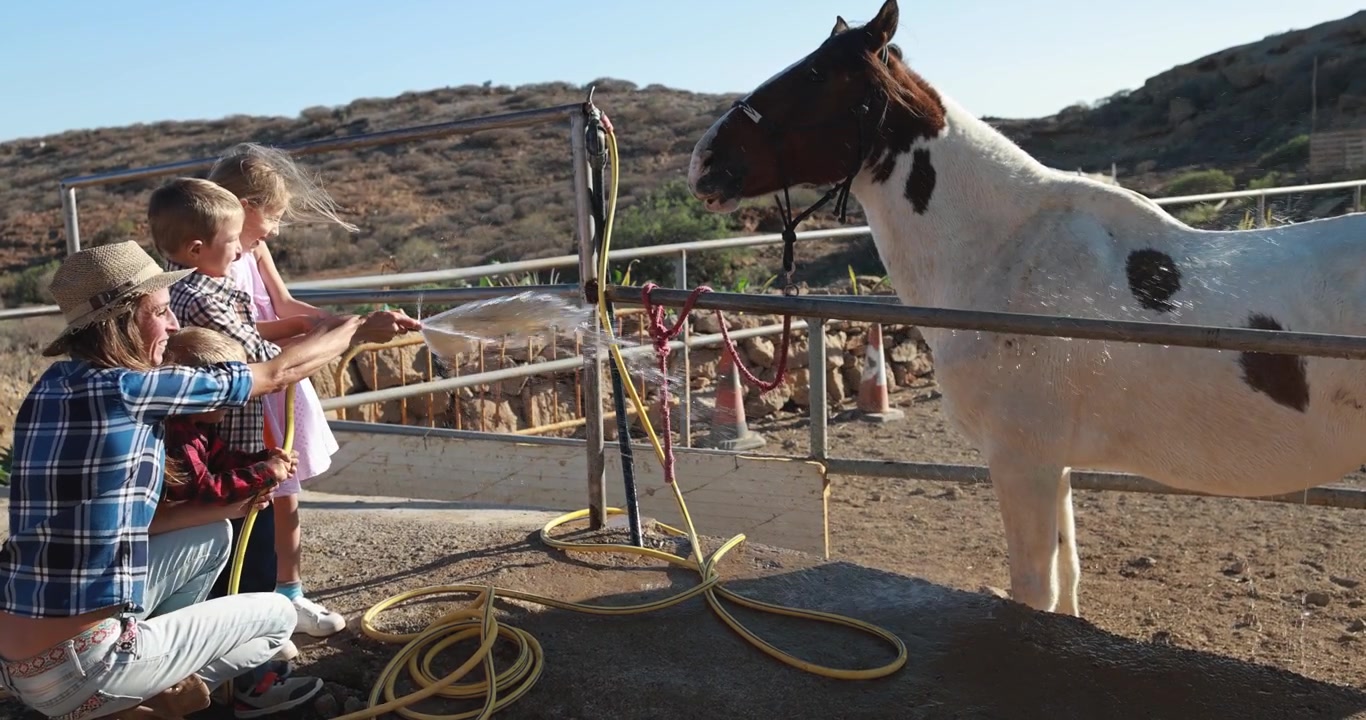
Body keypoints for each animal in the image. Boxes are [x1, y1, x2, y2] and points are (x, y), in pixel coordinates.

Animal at [685, 0, 1366, 616]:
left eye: (817, 75)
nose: (703, 161)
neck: (1008, 252)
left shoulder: (1022, 458)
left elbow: (1036, 590)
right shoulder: (1052, 464)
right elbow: (1067, 581)